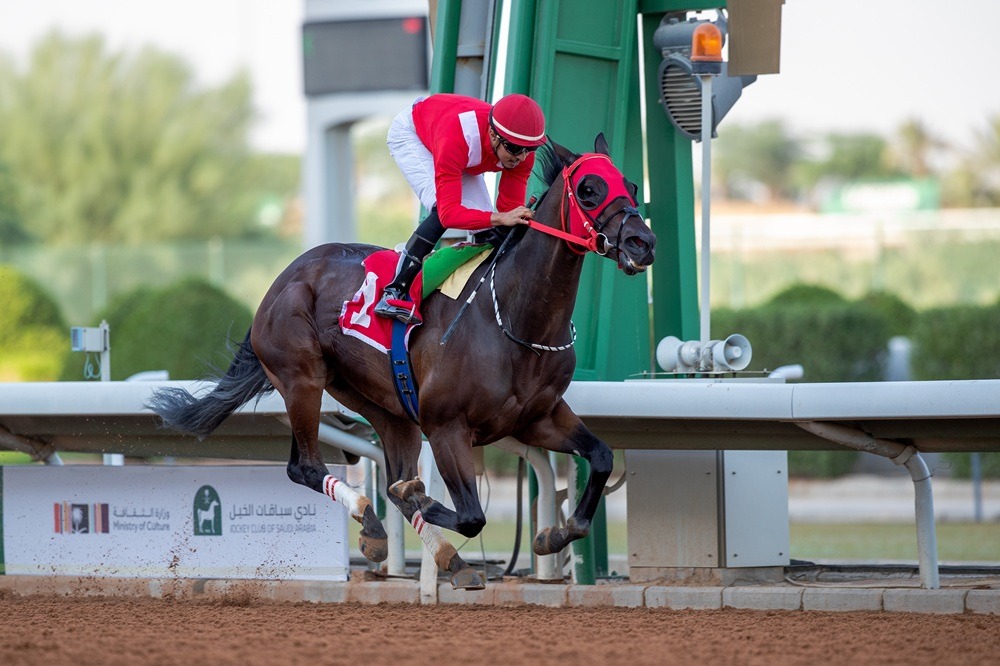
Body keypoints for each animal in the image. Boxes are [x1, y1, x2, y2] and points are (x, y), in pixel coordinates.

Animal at [148, 134, 656, 589]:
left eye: (631, 184)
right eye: (589, 189)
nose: (642, 243)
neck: (514, 319)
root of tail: (284, 277)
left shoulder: (538, 418)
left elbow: (601, 457)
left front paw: (555, 534)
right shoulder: (447, 426)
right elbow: (470, 515)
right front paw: (424, 502)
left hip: (383, 407)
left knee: (366, 467)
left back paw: (438, 555)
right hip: (302, 379)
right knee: (306, 466)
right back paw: (371, 521)